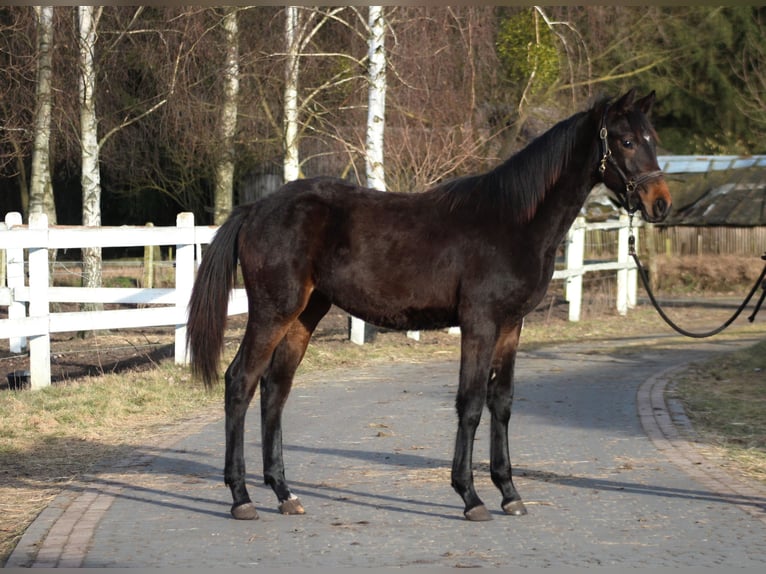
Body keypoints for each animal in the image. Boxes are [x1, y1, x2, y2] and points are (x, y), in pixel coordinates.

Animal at [186, 88, 672, 522]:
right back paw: (241, 497)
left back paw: (285, 494)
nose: (660, 204)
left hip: (306, 314)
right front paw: (471, 497)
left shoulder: (511, 326)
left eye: (653, 138)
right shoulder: (479, 323)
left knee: (275, 389)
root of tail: (255, 208)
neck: (513, 221)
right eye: (626, 141)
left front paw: (510, 493)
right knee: (240, 382)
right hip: (274, 312)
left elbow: (502, 402)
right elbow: (470, 403)